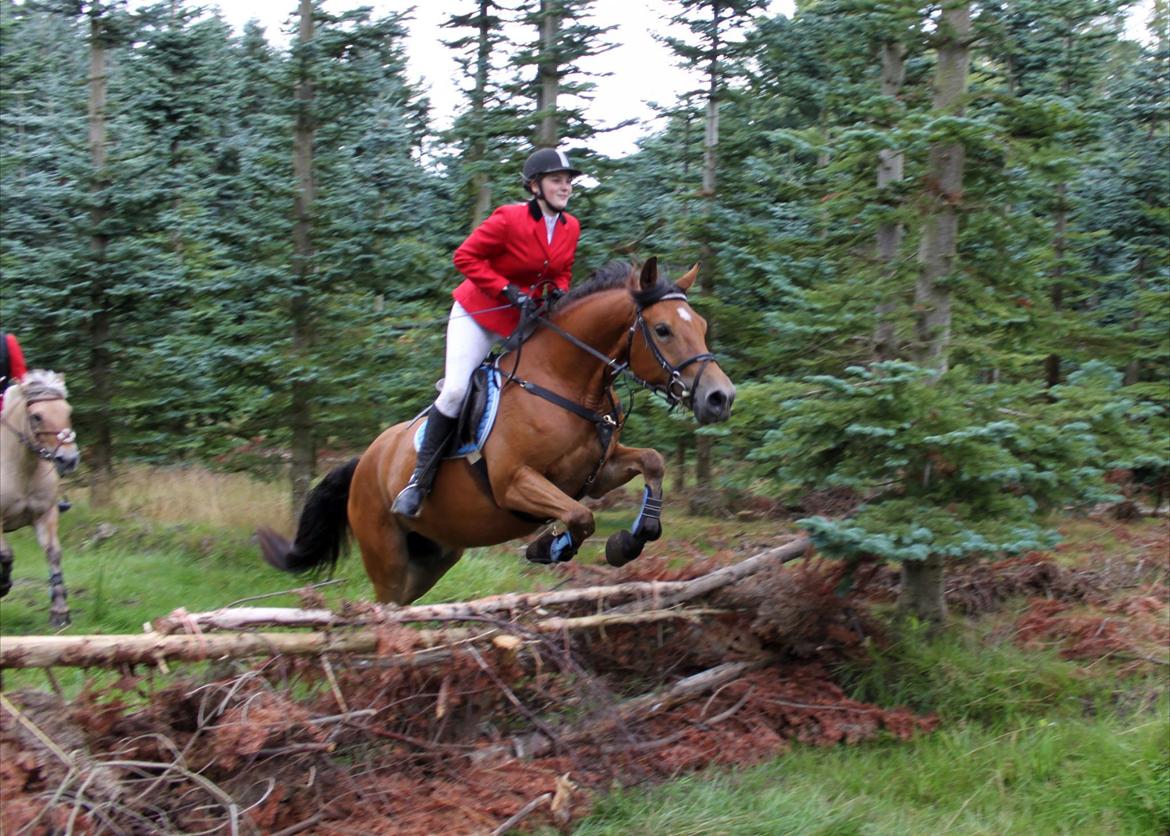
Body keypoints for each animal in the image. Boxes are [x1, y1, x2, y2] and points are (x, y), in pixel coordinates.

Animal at [0, 369, 80, 626]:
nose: (68, 460)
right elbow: (6, 553)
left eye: (68, 411)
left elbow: (53, 553)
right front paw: (3, 586)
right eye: (36, 416)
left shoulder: (46, 514)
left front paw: (60, 611)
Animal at [260, 258, 734, 603]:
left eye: (702, 326)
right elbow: (580, 516)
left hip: (435, 556)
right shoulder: (514, 483)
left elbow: (652, 463)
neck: (566, 384)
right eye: (663, 329)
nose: (720, 398)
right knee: (385, 604)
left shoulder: (597, 473)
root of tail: (364, 462)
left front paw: (631, 541)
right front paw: (549, 548)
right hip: (386, 554)